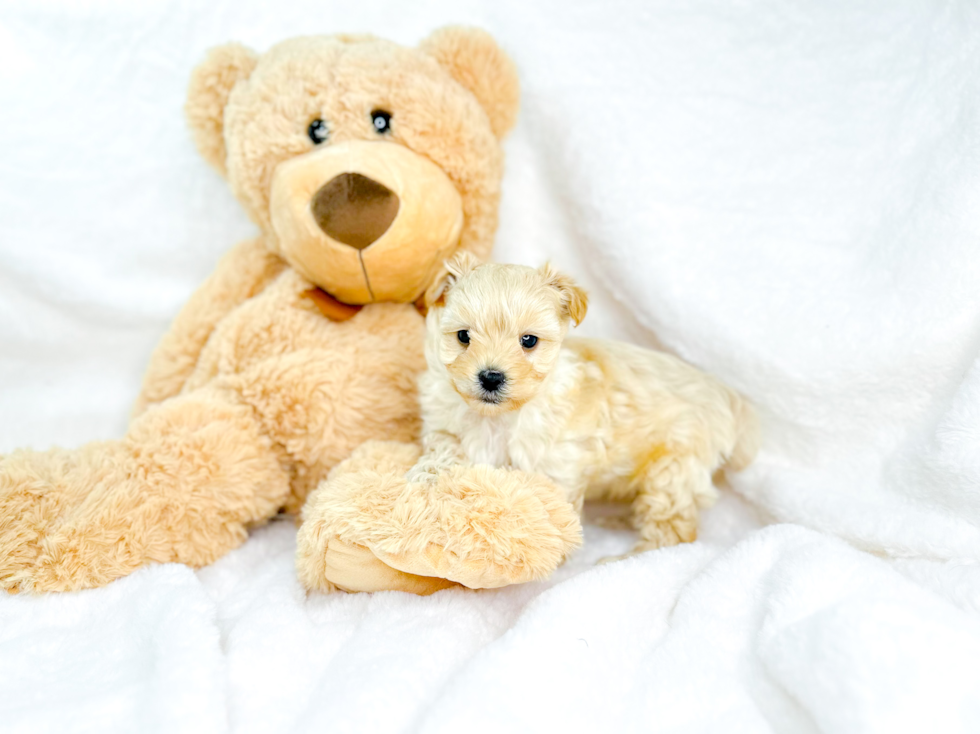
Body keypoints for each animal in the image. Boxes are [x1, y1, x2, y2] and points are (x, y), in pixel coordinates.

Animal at [406, 256, 756, 556]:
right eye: (463, 336)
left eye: (529, 341)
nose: (491, 377)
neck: (498, 417)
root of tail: (726, 396)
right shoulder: (445, 424)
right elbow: (444, 448)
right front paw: (424, 476)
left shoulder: (556, 465)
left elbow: (551, 508)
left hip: (672, 470)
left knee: (671, 530)